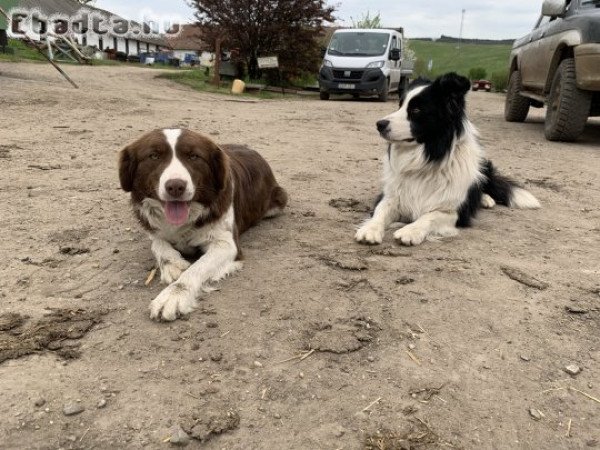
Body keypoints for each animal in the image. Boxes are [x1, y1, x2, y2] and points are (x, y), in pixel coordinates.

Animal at [118, 128, 288, 322]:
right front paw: (173, 264)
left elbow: (196, 269)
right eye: (154, 155)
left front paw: (173, 296)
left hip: (279, 199)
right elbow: (158, 244)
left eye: (194, 156)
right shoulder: (153, 230)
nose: (175, 186)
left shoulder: (226, 244)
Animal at [354, 73, 540, 246]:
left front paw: (410, 231)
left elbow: (430, 216)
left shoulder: (454, 212)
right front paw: (370, 229)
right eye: (400, 105)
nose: (379, 124)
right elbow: (381, 212)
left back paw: (485, 199)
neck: (428, 157)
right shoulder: (391, 196)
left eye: (416, 110)